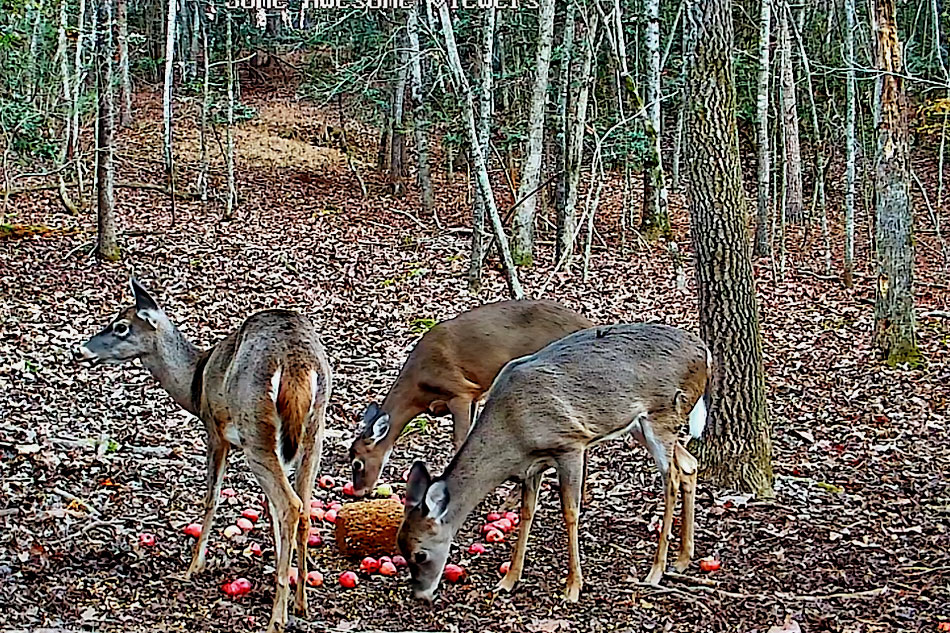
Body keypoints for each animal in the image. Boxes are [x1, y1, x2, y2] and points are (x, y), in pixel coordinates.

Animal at [73, 278, 330, 632]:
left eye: (121, 326)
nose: (81, 350)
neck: (196, 383)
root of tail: (297, 367)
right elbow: (267, 510)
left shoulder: (215, 430)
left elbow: (212, 497)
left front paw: (193, 566)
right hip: (313, 434)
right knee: (303, 507)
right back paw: (301, 603)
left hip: (256, 432)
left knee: (290, 506)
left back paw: (276, 619)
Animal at [346, 298, 592, 496]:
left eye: (358, 464)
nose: (359, 491)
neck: (418, 388)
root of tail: (587, 324)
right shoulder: (473, 396)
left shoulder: (460, 391)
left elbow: (460, 440)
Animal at [398, 324, 712, 600]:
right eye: (401, 549)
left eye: (420, 554)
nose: (421, 595)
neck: (514, 432)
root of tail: (705, 352)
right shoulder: (532, 466)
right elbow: (527, 512)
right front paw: (508, 580)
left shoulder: (570, 444)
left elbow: (570, 513)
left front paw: (573, 587)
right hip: (639, 425)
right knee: (688, 464)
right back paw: (683, 558)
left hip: (663, 414)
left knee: (671, 478)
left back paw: (656, 571)